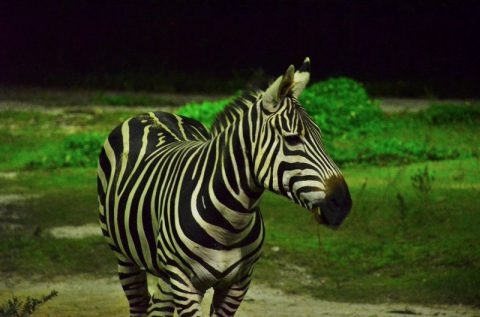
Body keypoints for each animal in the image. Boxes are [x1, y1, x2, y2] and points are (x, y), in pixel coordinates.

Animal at [97, 58, 352, 314]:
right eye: (292, 139)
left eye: (320, 136)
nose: (343, 204)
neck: (230, 224)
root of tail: (151, 112)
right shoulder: (184, 282)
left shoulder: (239, 282)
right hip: (125, 256)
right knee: (139, 302)